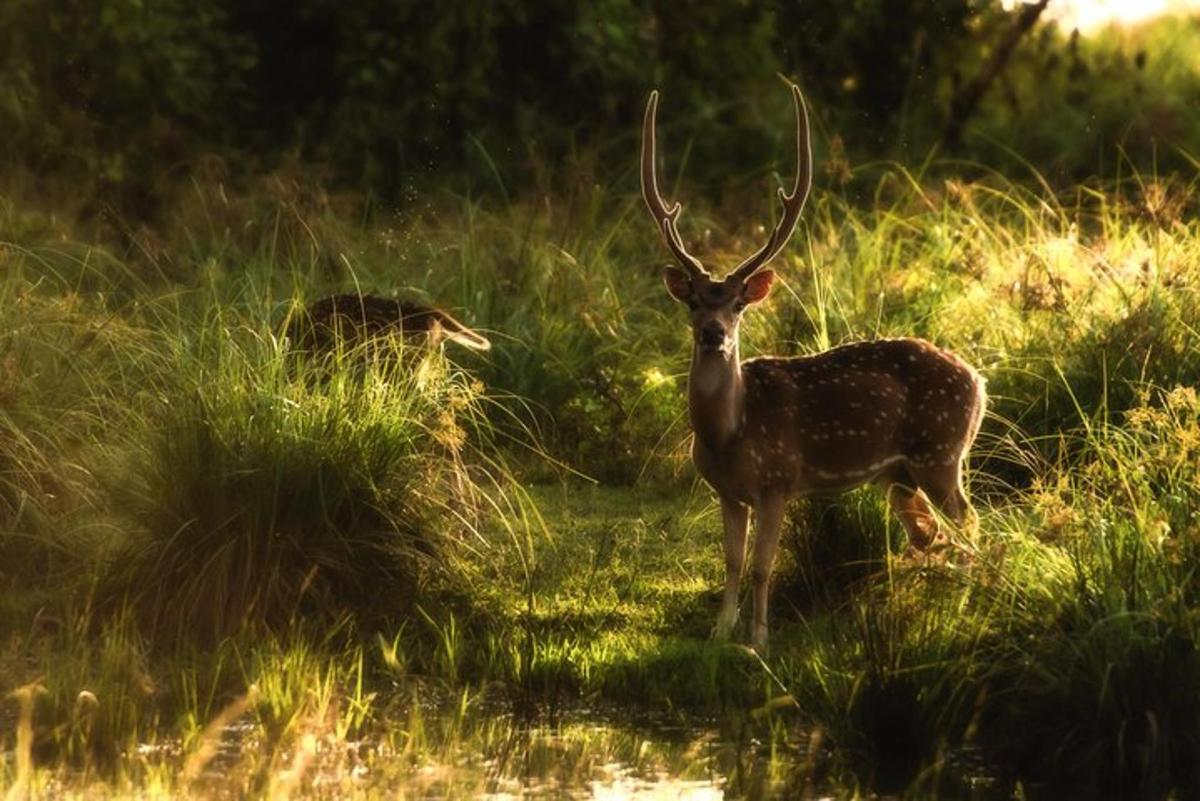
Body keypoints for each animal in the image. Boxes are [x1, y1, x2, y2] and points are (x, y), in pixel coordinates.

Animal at [643, 84, 988, 652]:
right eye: (692, 301)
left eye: (738, 304)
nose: (714, 332)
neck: (728, 433)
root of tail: (980, 382)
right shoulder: (728, 491)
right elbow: (732, 561)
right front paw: (721, 632)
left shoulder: (779, 480)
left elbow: (762, 565)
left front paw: (758, 640)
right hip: (901, 473)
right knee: (931, 533)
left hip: (940, 451)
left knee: (970, 523)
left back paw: (963, 607)